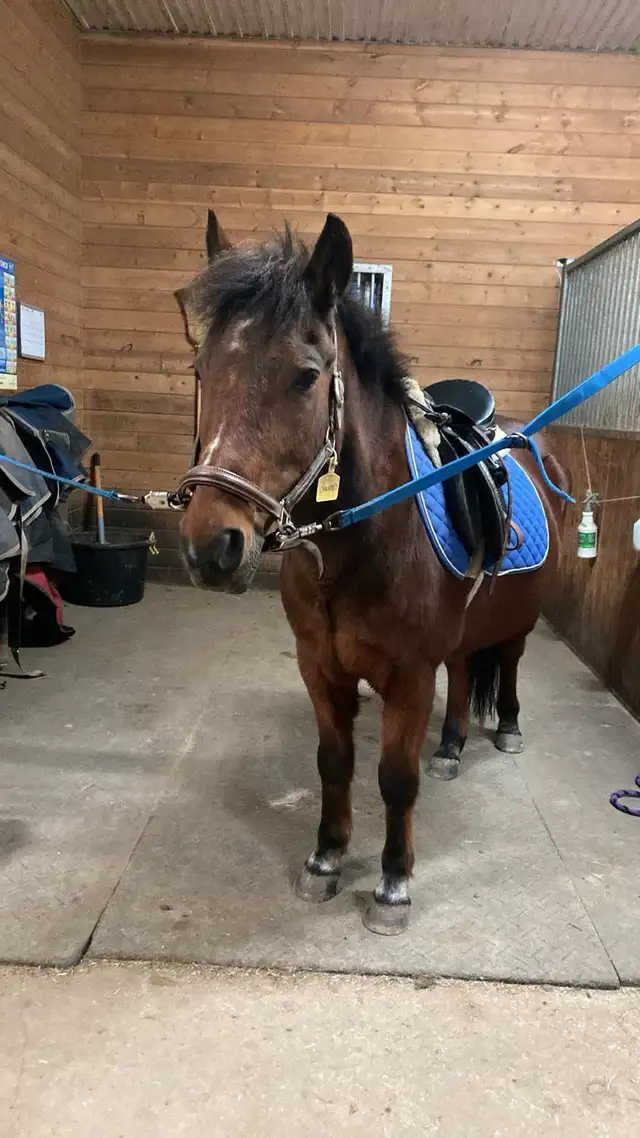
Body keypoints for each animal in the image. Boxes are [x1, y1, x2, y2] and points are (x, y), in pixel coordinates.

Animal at [176, 211, 568, 935]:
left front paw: (392, 883)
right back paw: (451, 746)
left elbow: (394, 778)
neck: (361, 547)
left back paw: (506, 728)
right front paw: (326, 858)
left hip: (520, 619)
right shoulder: (320, 666)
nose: (211, 546)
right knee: (465, 669)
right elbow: (335, 763)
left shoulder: (409, 676)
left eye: (306, 377)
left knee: (508, 662)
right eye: (201, 368)